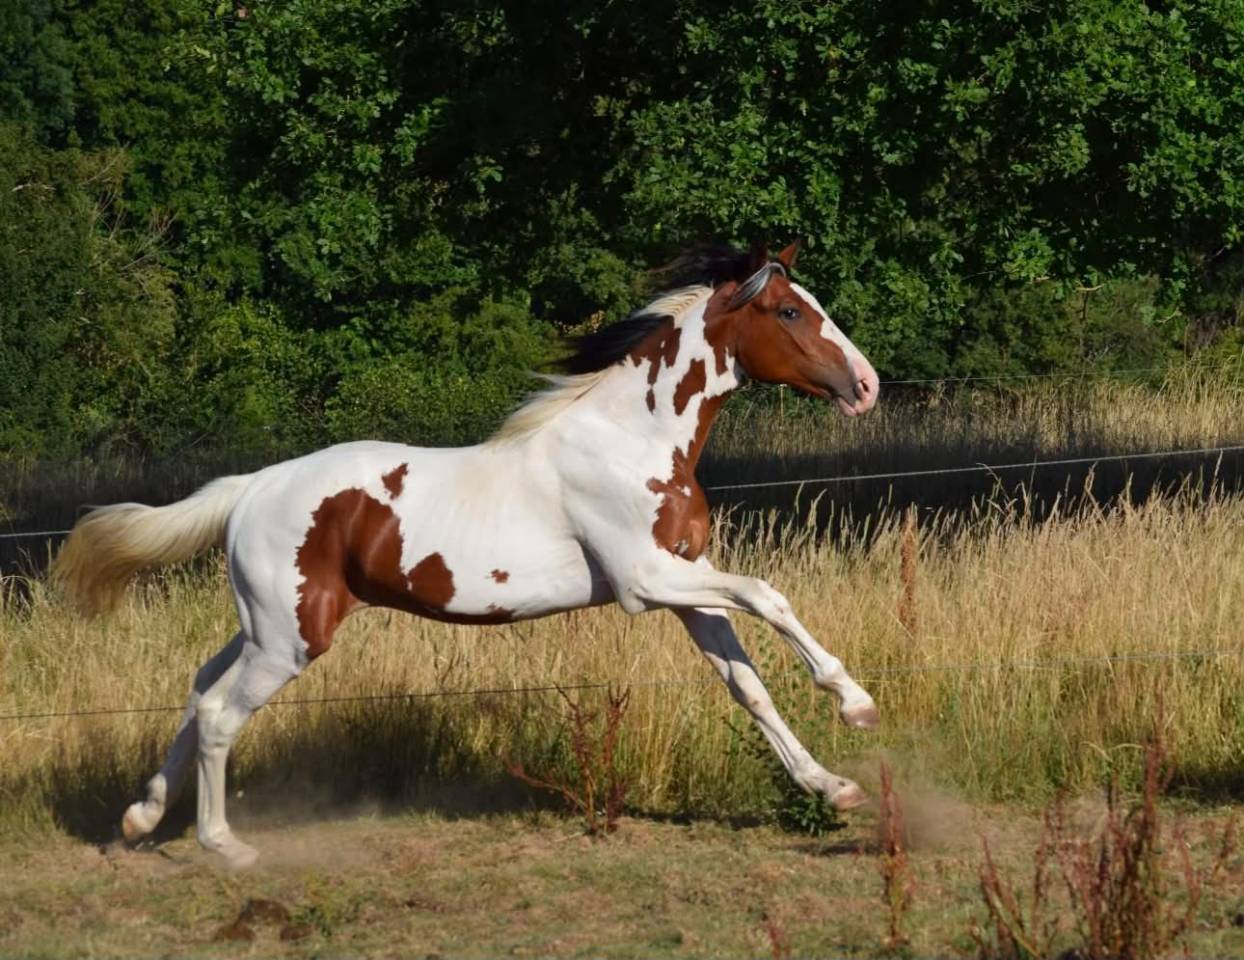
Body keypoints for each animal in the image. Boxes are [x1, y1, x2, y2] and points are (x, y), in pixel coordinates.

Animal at [53, 241, 881, 868]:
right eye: (789, 311)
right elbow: (770, 595)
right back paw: (224, 846)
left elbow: (747, 685)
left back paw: (140, 818)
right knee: (222, 713)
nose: (866, 385)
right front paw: (857, 703)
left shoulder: (687, 584)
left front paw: (832, 786)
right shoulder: (647, 581)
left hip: (262, 627)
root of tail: (250, 488)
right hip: (291, 638)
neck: (631, 440)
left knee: (198, 691)